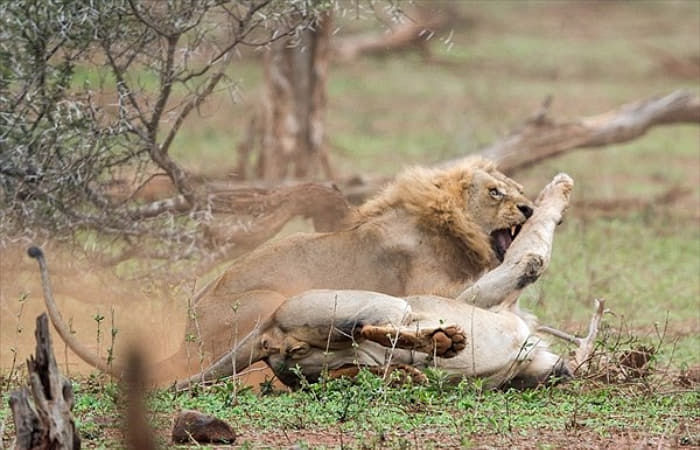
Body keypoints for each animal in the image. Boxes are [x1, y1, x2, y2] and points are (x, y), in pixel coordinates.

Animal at [30, 158, 532, 384]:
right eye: (495, 192)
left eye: (519, 188)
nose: (528, 208)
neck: (449, 224)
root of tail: (183, 341)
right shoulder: (434, 287)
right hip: (269, 301)